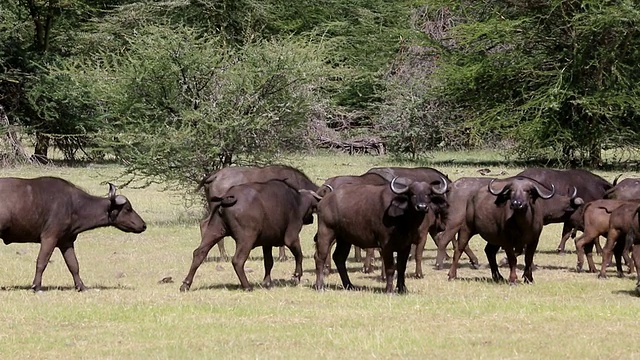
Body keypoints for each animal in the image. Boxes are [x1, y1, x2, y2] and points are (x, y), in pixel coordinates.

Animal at [0, 177, 146, 292]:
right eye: (128, 209)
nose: (144, 225)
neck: (74, 205)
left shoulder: (66, 241)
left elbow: (73, 265)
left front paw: (81, 286)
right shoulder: (49, 237)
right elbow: (42, 261)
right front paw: (36, 286)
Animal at [180, 179, 320, 292]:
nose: (311, 219)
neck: (297, 201)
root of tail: (226, 199)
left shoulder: (267, 244)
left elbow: (269, 262)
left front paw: (266, 282)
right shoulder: (291, 238)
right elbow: (299, 255)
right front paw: (297, 276)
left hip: (213, 231)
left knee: (199, 253)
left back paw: (186, 284)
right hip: (246, 239)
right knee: (237, 260)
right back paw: (247, 286)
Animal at [312, 176, 448, 292]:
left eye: (428, 194)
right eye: (412, 194)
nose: (422, 207)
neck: (403, 219)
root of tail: (323, 201)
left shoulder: (405, 246)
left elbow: (401, 267)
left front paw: (402, 289)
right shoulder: (386, 246)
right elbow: (390, 268)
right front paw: (389, 289)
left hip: (344, 239)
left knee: (339, 257)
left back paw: (349, 285)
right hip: (326, 232)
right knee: (320, 257)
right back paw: (320, 286)